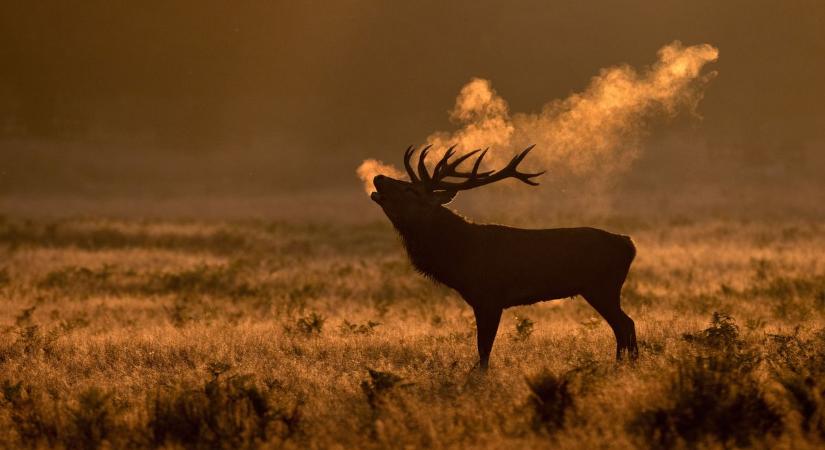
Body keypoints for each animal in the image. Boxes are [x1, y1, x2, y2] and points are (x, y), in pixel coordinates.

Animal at [370, 144, 640, 370]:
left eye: (411, 189)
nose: (378, 177)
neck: (459, 256)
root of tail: (628, 244)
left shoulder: (489, 297)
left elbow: (484, 349)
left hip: (603, 286)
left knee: (626, 324)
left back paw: (627, 365)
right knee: (622, 326)